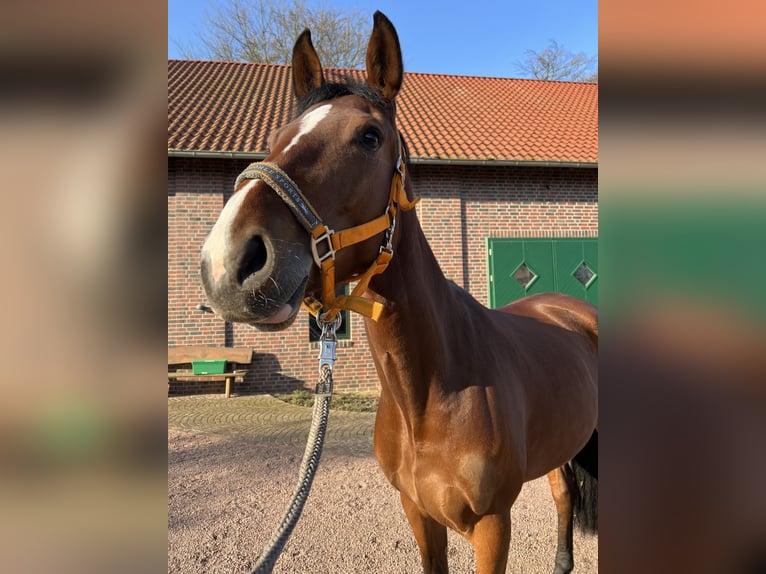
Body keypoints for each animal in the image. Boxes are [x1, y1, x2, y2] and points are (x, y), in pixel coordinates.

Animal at [200, 11, 598, 574]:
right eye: (278, 136)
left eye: (369, 137)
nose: (228, 260)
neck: (431, 393)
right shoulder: (418, 512)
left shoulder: (493, 525)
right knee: (564, 493)